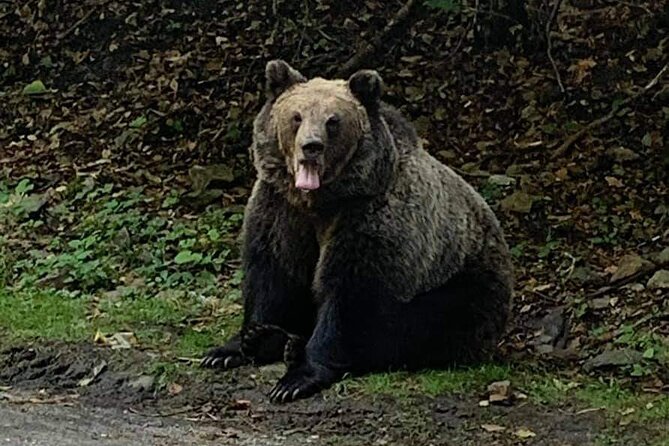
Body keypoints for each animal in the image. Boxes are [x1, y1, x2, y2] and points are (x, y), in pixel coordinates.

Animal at [201, 60, 514, 403]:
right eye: (296, 116)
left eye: (333, 121)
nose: (311, 147)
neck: (320, 201)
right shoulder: (280, 209)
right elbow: (273, 274)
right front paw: (236, 345)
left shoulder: (370, 216)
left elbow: (351, 296)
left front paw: (295, 378)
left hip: (464, 280)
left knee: (420, 326)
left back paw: (294, 347)